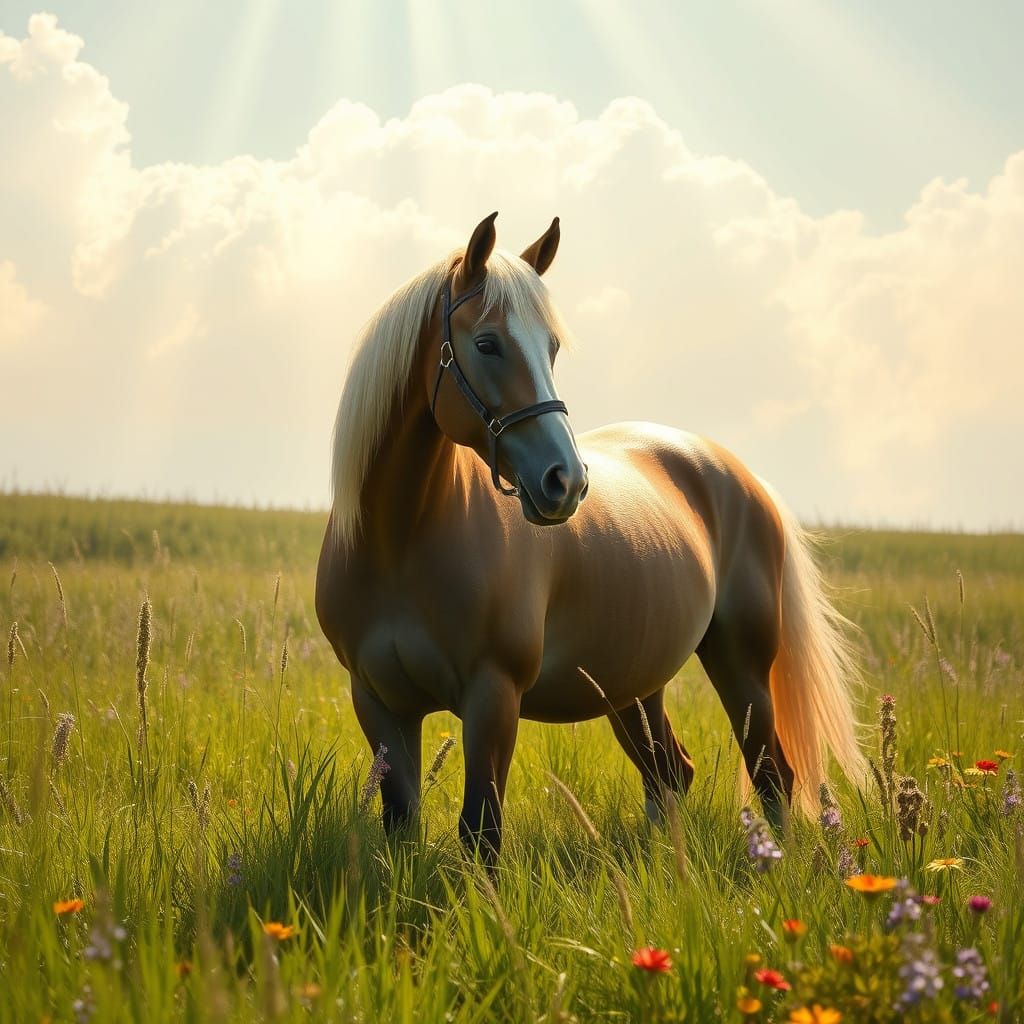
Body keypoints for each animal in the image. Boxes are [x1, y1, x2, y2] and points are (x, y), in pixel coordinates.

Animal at [316, 212, 865, 863]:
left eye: (551, 347)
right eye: (486, 343)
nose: (566, 481)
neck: (400, 541)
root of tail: (742, 476)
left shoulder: (493, 697)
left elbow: (482, 831)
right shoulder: (379, 704)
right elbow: (401, 825)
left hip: (742, 666)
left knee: (772, 775)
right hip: (634, 686)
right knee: (669, 773)